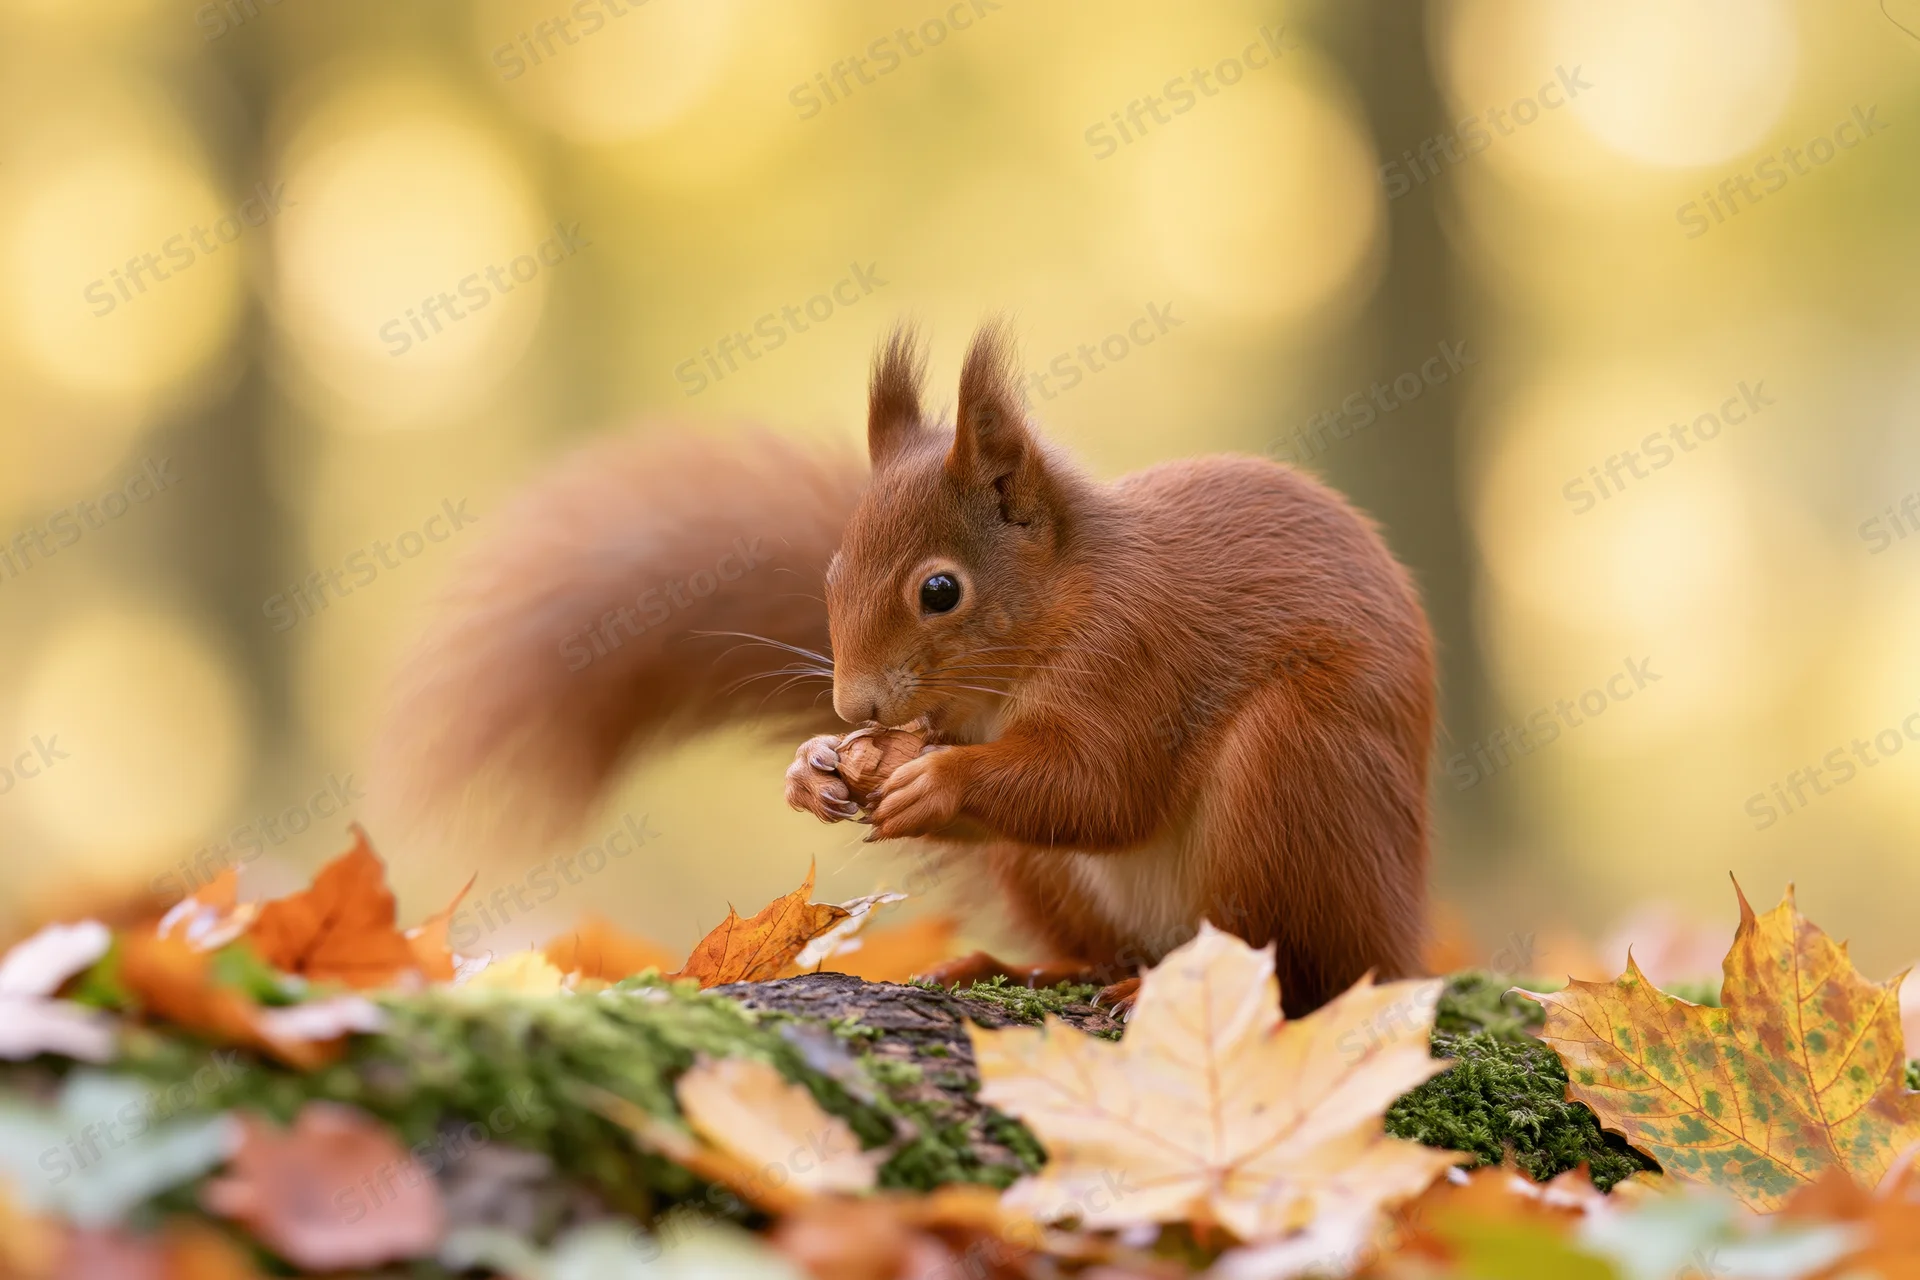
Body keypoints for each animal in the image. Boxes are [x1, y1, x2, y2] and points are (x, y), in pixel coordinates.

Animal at [370, 322, 1435, 1015]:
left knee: (1305, 976)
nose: (856, 705)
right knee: (1099, 937)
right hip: (1047, 877)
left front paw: (938, 783)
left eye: (940, 590)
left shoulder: (1140, 657)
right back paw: (1045, 973)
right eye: (831, 574)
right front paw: (814, 767)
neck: (1056, 611)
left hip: (1296, 778)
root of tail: (1401, 933)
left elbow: (1101, 785)